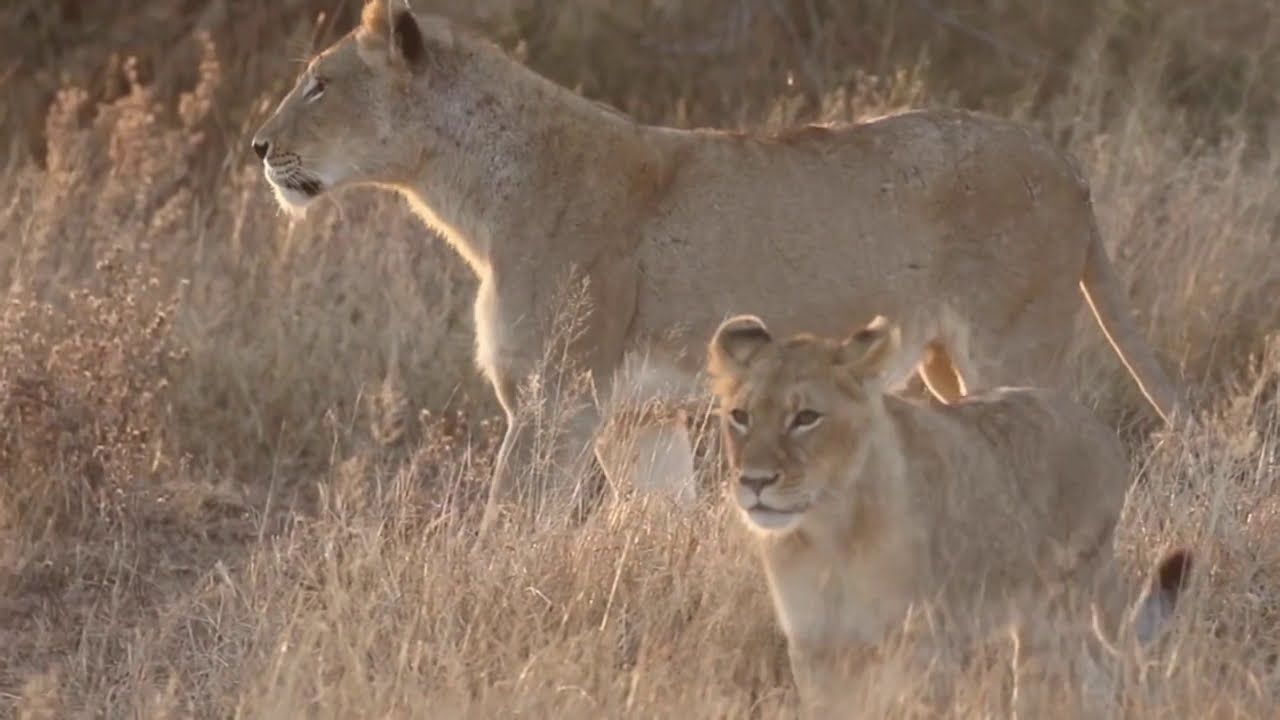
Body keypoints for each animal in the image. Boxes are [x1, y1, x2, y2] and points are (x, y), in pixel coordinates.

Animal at [251, 0, 1185, 534]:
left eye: (320, 84)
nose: (259, 147)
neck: (469, 191)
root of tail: (1066, 163)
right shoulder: (633, 418)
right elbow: (651, 520)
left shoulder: (556, 400)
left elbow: (508, 526)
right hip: (951, 366)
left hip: (1011, 348)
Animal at [705, 313, 1193, 715]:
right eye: (740, 416)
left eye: (806, 417)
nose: (754, 481)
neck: (829, 533)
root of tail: (1098, 429)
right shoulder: (817, 648)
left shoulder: (924, 647)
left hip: (1055, 609)